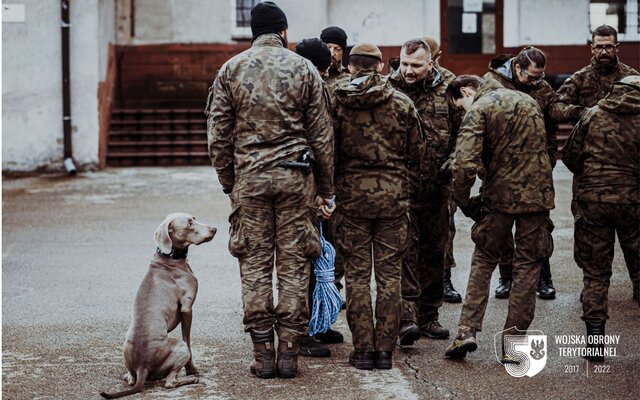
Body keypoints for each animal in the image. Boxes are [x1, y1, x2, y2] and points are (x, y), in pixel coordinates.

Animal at [101, 212, 216, 396]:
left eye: (194, 218)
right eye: (189, 224)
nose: (214, 229)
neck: (169, 258)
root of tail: (141, 367)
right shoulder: (187, 308)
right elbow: (188, 340)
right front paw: (191, 370)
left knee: (131, 378)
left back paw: (128, 376)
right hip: (179, 347)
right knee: (170, 382)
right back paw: (191, 379)